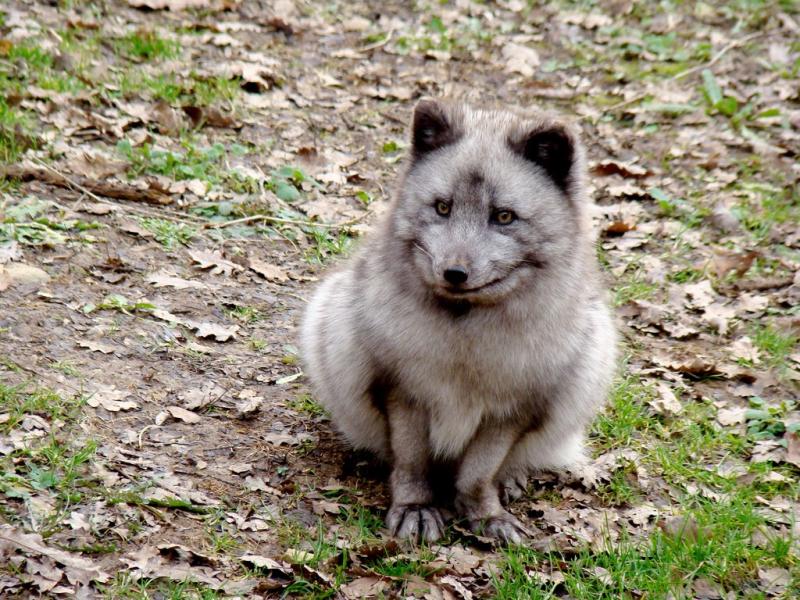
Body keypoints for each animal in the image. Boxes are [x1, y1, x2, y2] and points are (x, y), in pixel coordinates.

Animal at [300, 99, 617, 543]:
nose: (454, 273)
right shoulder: (405, 392)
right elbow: (413, 463)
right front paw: (415, 508)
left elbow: (478, 473)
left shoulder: (511, 411)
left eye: (504, 217)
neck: (464, 339)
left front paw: (485, 514)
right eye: (442, 207)